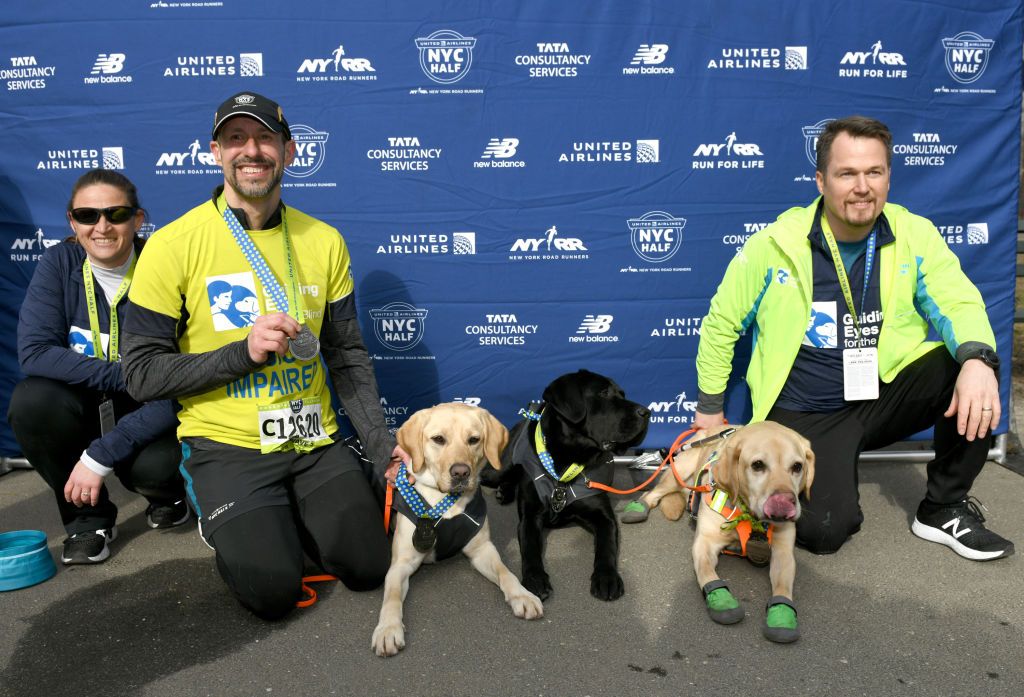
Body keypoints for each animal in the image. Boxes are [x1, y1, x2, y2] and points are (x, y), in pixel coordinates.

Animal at [370, 403, 544, 659]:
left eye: (474, 440)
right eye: (438, 439)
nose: (461, 472)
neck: (447, 502)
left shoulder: (482, 549)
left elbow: (505, 573)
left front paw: (522, 595)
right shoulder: (400, 564)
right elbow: (391, 597)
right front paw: (388, 629)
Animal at [479, 366, 647, 601]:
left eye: (623, 394)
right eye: (603, 393)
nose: (647, 412)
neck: (567, 462)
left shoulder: (604, 517)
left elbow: (607, 546)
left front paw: (606, 577)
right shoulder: (529, 517)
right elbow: (529, 549)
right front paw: (535, 578)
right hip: (498, 468)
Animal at [638, 419, 815, 642]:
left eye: (797, 467)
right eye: (758, 465)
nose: (784, 506)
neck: (749, 516)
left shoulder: (783, 553)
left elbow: (782, 587)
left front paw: (782, 616)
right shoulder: (704, 543)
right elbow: (708, 573)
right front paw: (722, 600)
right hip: (678, 470)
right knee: (652, 494)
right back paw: (637, 508)